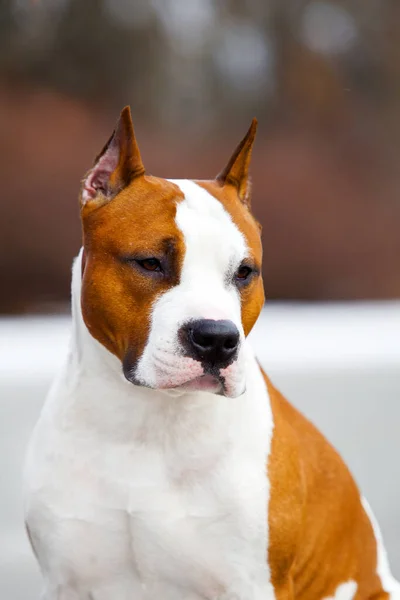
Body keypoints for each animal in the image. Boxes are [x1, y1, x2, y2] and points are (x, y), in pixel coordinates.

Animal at [25, 108, 400, 600]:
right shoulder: (66, 580)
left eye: (244, 272)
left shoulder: (251, 584)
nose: (217, 339)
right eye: (150, 263)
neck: (144, 425)